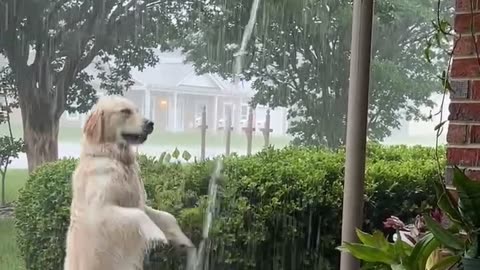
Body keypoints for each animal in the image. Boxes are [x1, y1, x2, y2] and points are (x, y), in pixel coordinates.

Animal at [64, 95, 194, 270]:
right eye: (125, 111)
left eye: (137, 110)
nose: (150, 124)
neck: (116, 158)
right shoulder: (99, 212)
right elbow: (138, 215)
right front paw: (158, 236)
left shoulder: (139, 203)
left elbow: (167, 216)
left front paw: (182, 239)